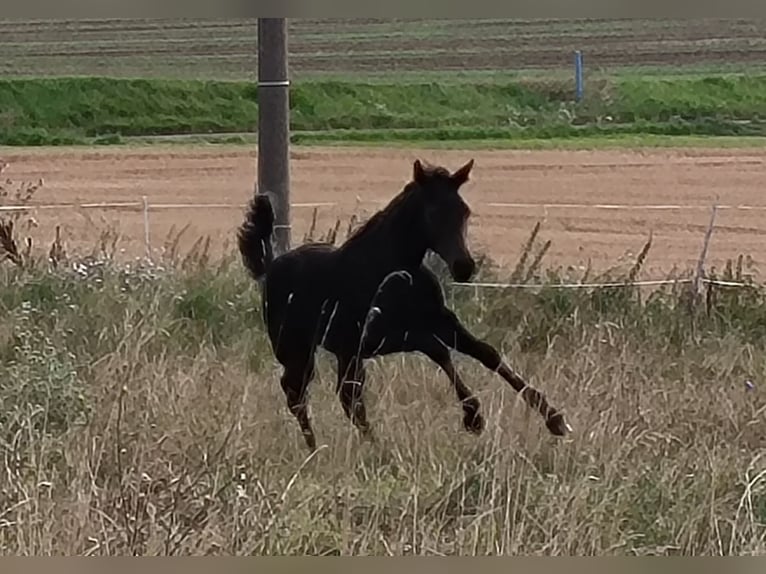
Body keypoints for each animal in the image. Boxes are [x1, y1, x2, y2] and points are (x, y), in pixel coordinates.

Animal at [237, 160, 572, 452]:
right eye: (432, 213)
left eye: (464, 211)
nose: (464, 267)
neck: (395, 269)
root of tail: (269, 266)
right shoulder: (390, 335)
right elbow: (439, 350)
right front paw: (473, 416)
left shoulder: (441, 320)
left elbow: (486, 352)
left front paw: (554, 418)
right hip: (297, 349)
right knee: (297, 393)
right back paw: (321, 448)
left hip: (346, 353)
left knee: (348, 398)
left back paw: (366, 445)